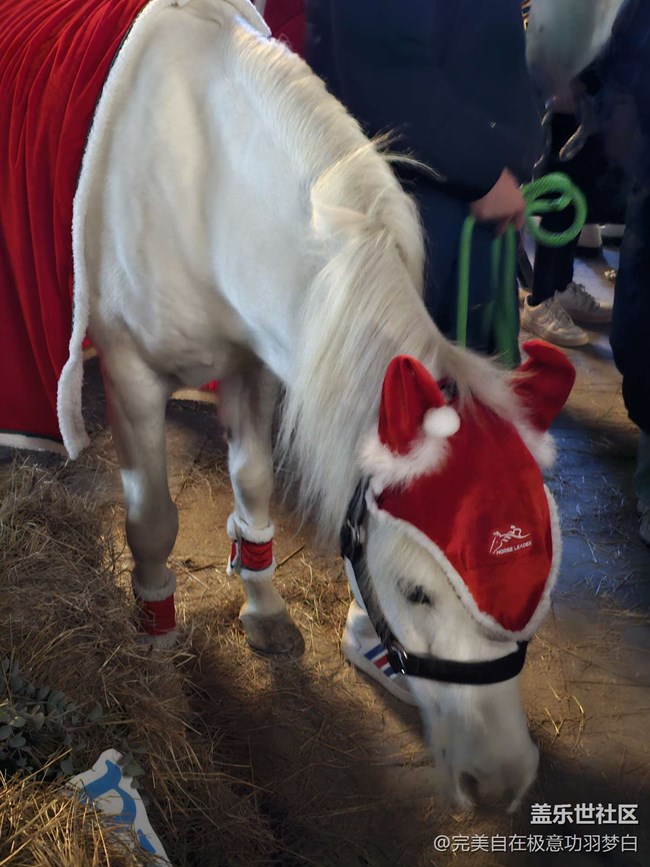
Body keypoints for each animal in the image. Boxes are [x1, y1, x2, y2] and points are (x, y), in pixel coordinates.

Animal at [56, 0, 574, 808]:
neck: (205, 184)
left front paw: (264, 609)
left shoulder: (254, 364)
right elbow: (152, 522)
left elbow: (254, 481)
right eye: (416, 592)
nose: (501, 781)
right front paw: (156, 643)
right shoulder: (131, 374)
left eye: (539, 584)